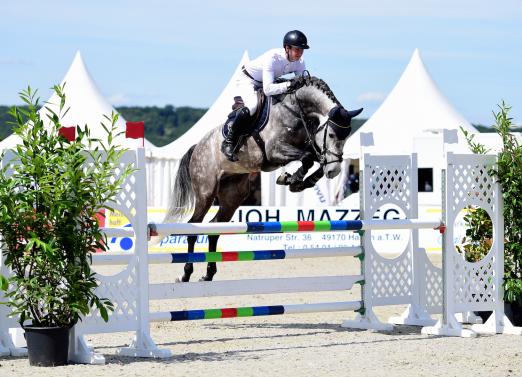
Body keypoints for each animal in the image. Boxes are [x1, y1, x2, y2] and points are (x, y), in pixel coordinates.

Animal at [165, 75, 360, 280]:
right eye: (331, 134)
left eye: (346, 137)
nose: (335, 171)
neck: (296, 109)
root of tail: (198, 146)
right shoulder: (274, 151)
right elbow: (307, 158)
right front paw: (292, 179)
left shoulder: (309, 147)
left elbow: (314, 161)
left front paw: (299, 181)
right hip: (206, 192)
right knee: (193, 227)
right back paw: (186, 274)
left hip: (232, 196)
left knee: (214, 228)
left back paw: (209, 274)